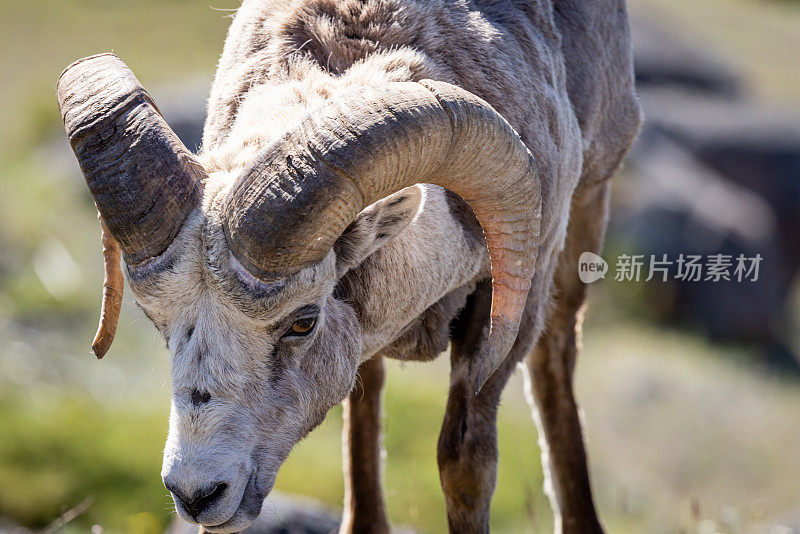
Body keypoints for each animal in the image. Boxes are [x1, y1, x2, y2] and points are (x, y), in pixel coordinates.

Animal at [56, 2, 640, 532]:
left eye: (302, 322)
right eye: (158, 322)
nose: (197, 494)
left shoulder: (502, 312)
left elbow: (465, 464)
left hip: (584, 219)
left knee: (554, 358)